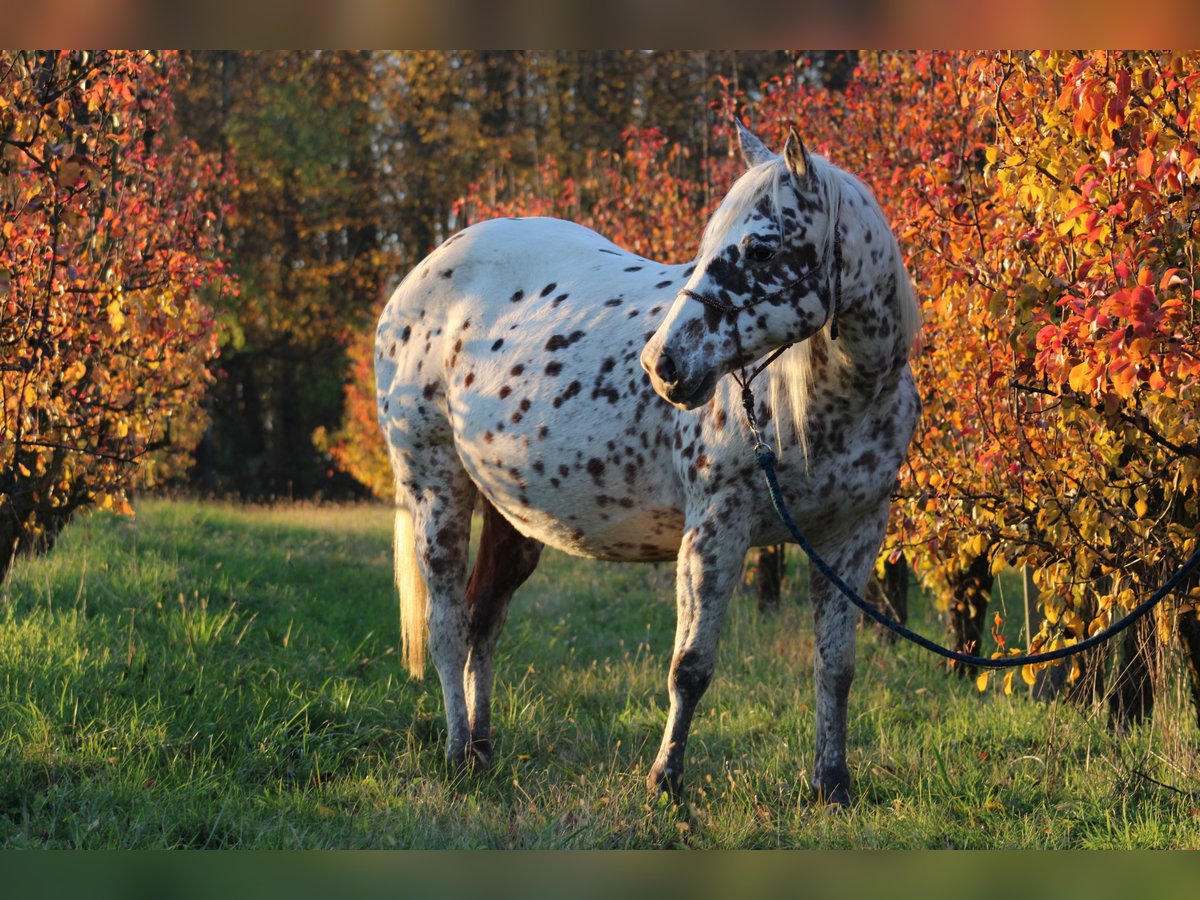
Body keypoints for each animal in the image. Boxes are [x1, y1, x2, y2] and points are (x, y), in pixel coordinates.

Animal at [374, 123, 916, 806]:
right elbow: (691, 668)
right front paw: (665, 780)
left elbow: (836, 668)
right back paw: (455, 753)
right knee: (446, 624)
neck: (832, 405)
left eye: (761, 248)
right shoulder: (715, 530)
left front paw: (832, 784)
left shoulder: (853, 538)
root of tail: (418, 279)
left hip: (511, 519)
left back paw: (481, 749)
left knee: (482, 623)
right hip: (435, 489)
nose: (663, 364)